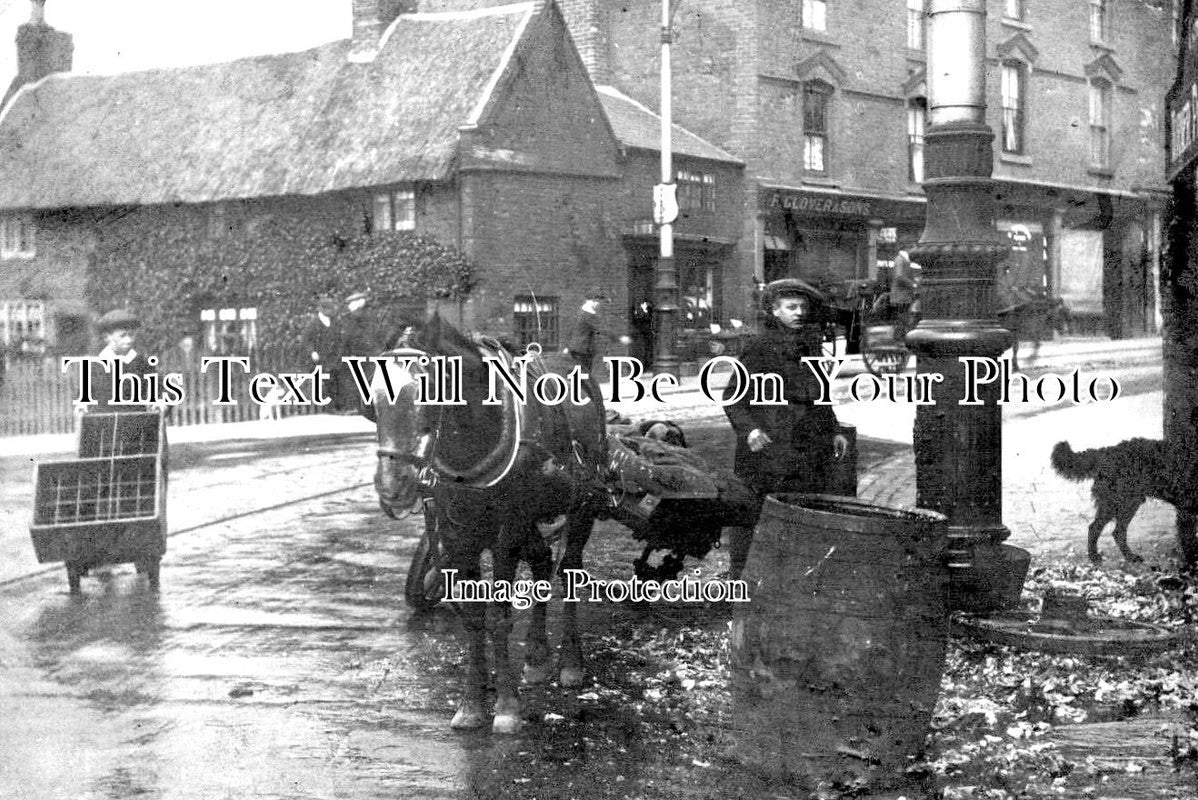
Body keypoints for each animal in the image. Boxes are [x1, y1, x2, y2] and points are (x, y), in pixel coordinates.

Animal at [368, 311, 608, 732]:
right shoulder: (456, 533)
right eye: (376, 398)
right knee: (543, 561)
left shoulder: (505, 532)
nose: (392, 485)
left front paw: (508, 706)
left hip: (583, 506)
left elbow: (498, 615)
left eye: (428, 389)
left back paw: (570, 663)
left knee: (569, 571)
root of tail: (576, 358)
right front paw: (472, 704)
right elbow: (474, 617)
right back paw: (536, 657)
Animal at [1049, 440, 1198, 565]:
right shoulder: (1186, 511)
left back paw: (1127, 556)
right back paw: (1097, 556)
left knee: (1115, 532)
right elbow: (1189, 543)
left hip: (1126, 503)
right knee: (1098, 528)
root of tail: (1106, 451)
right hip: (1119, 503)